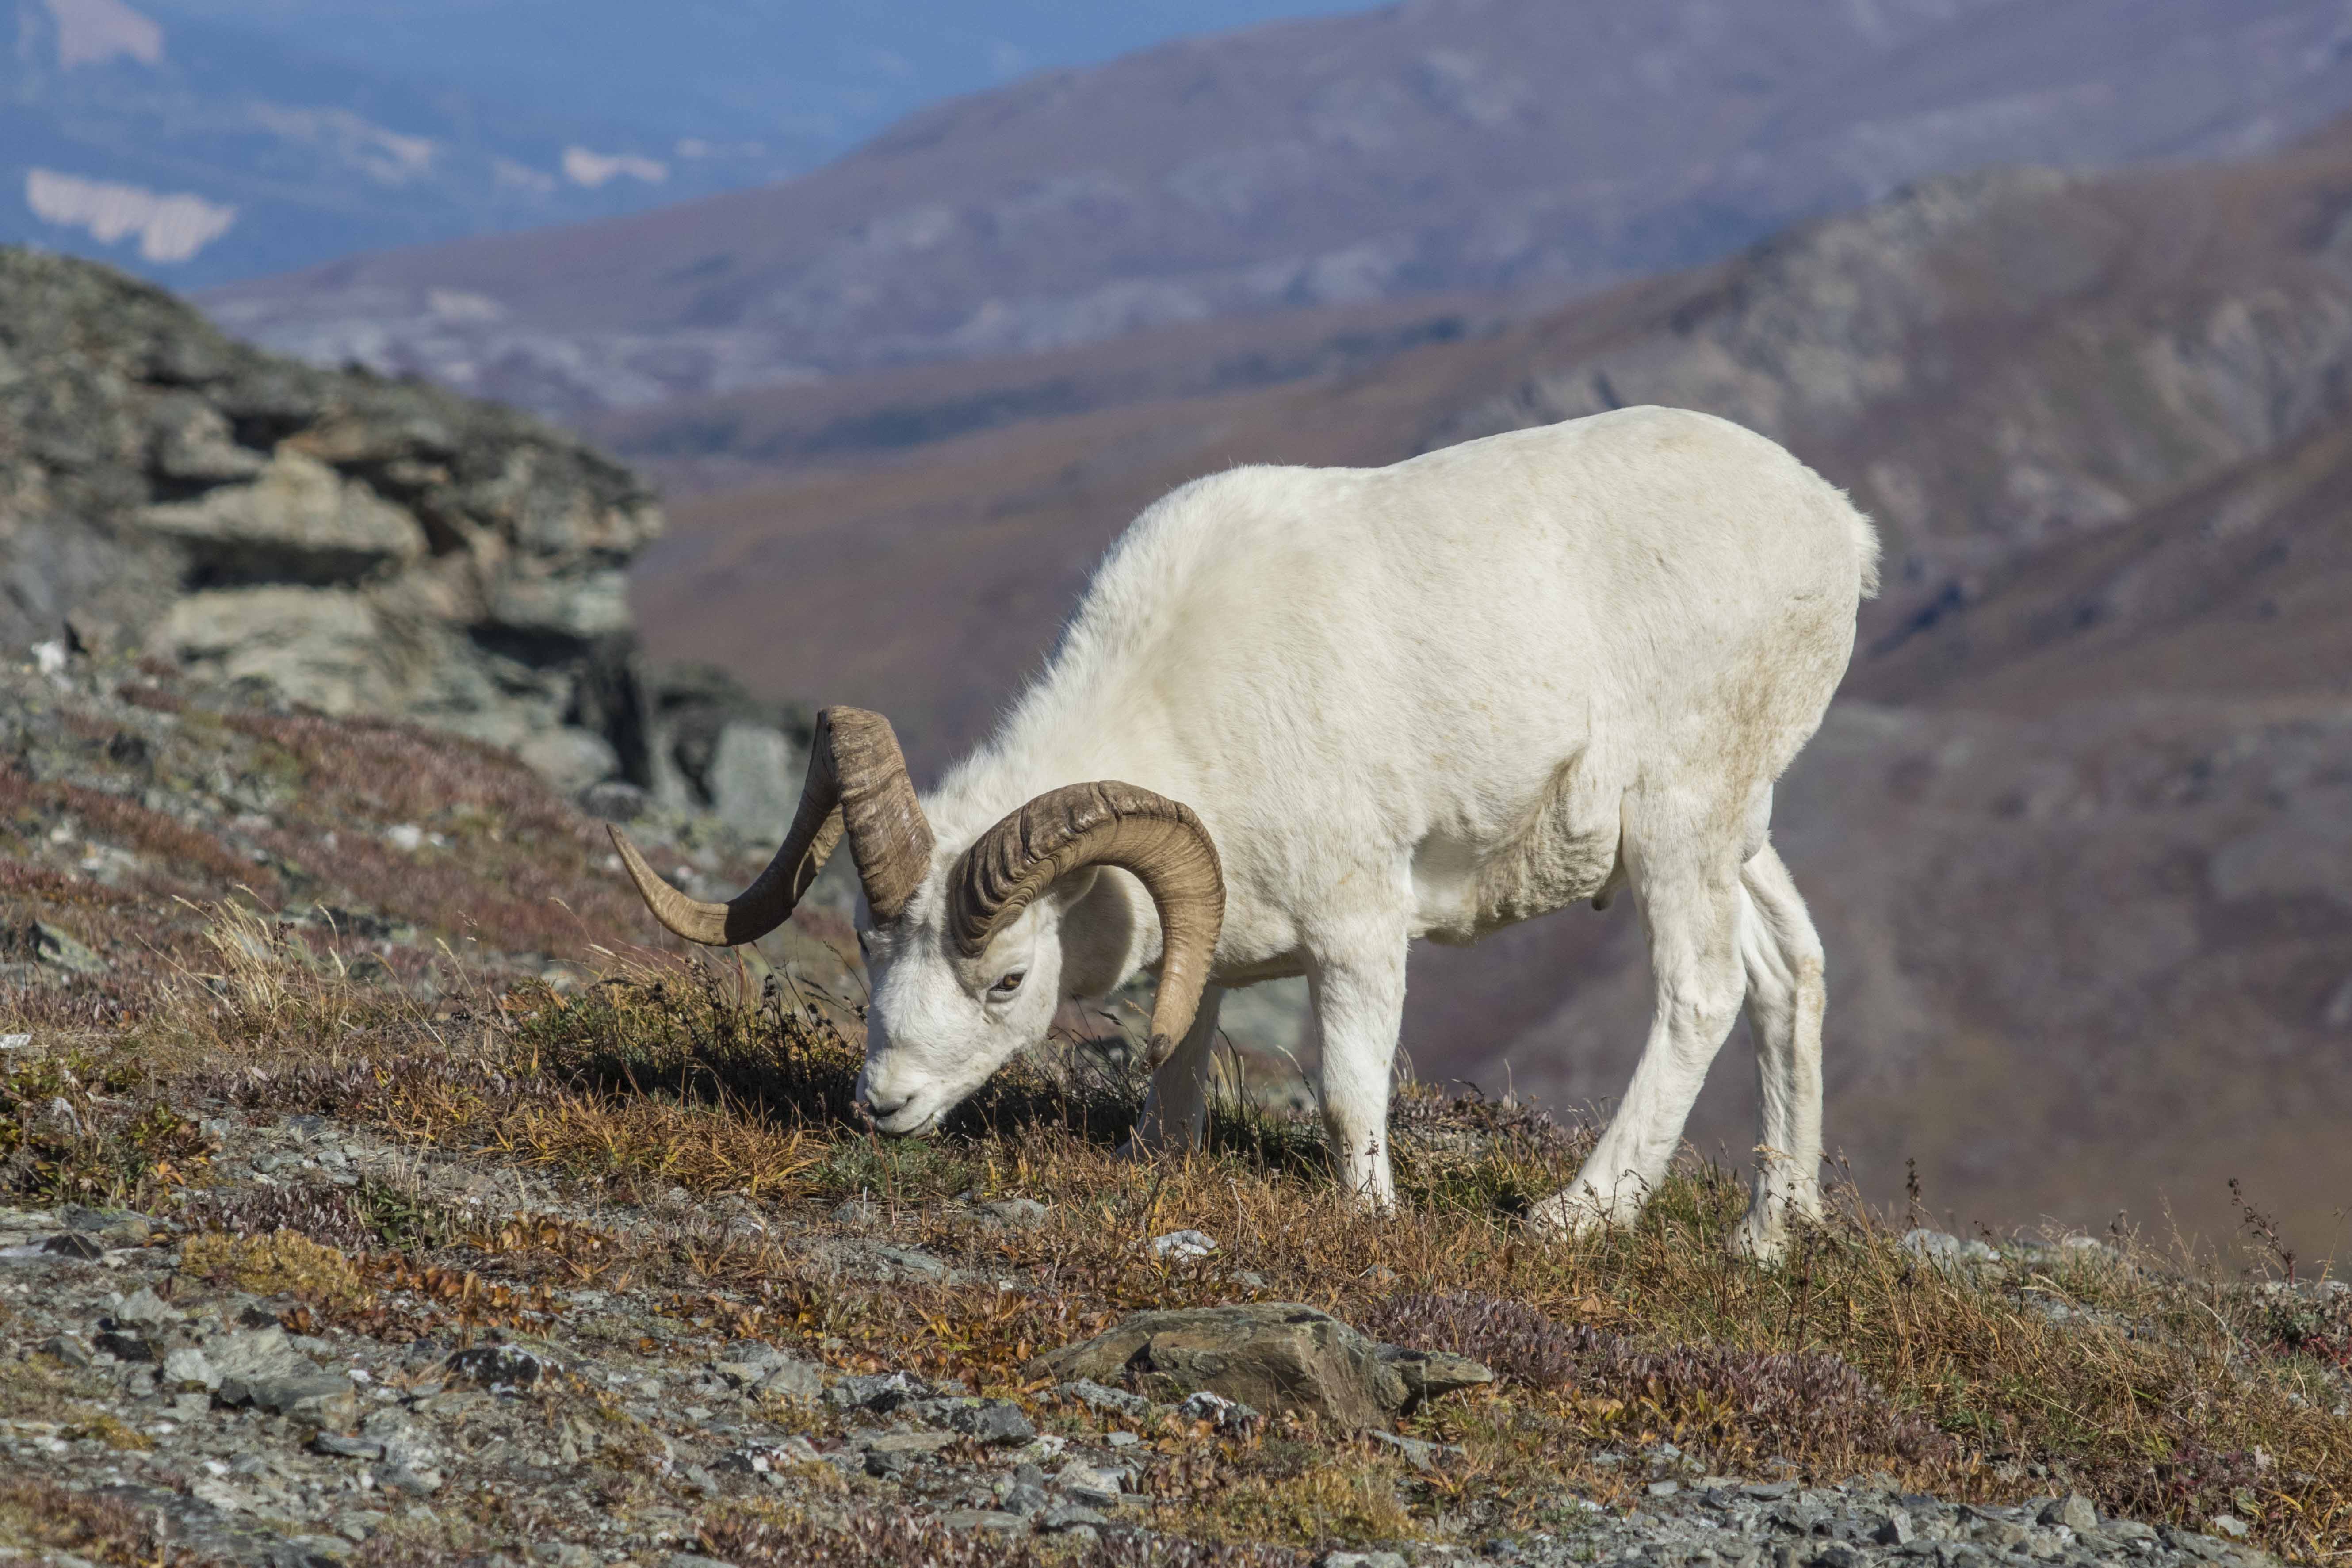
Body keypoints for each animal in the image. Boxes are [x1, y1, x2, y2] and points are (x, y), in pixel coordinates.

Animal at [616, 409, 1882, 1260]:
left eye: (1007, 979)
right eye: (869, 950)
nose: (884, 1105)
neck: (1186, 693)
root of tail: (1838, 530)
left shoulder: (1360, 933)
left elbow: (1347, 1091)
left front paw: (1368, 1218)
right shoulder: (1213, 932)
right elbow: (1177, 1052)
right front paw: (1150, 1170)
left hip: (1680, 820)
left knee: (1702, 992)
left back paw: (1574, 1217)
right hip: (1734, 836)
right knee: (1791, 974)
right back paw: (1769, 1236)